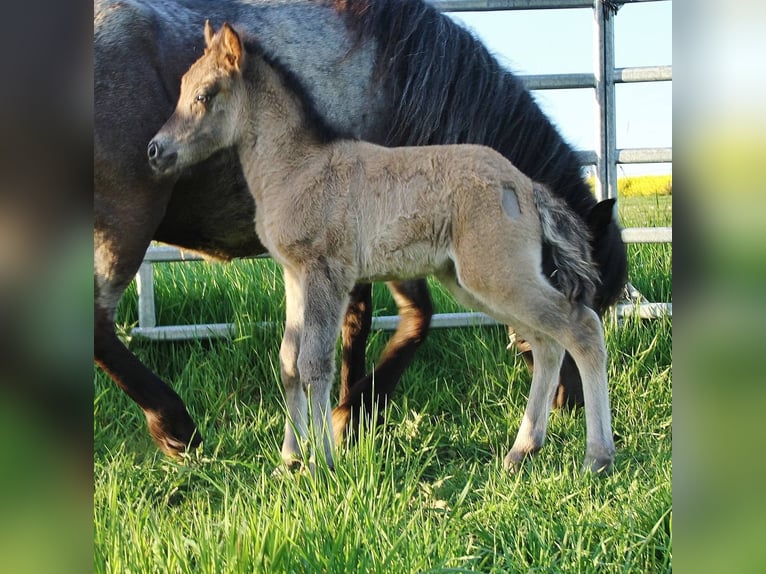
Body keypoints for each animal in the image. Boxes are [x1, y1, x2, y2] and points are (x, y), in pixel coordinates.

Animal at [94, 0, 626, 456]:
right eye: (183, 87)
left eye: (205, 95)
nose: (156, 150)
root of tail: (526, 186)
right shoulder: (310, 272)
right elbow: (307, 355)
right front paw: (313, 445)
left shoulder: (332, 269)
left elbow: (323, 354)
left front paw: (331, 443)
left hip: (486, 277)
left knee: (569, 330)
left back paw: (585, 454)